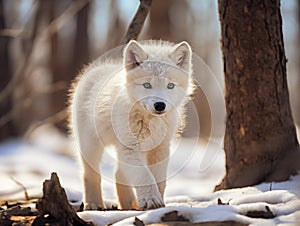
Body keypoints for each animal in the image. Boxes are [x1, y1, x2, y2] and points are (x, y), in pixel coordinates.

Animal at [69, 40, 193, 210]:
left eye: (170, 86)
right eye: (147, 85)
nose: (160, 105)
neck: (150, 121)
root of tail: (94, 70)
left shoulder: (160, 149)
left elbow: (159, 179)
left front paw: (159, 202)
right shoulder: (131, 148)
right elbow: (145, 176)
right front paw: (151, 200)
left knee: (117, 174)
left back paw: (128, 204)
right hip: (90, 146)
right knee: (90, 174)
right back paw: (94, 204)